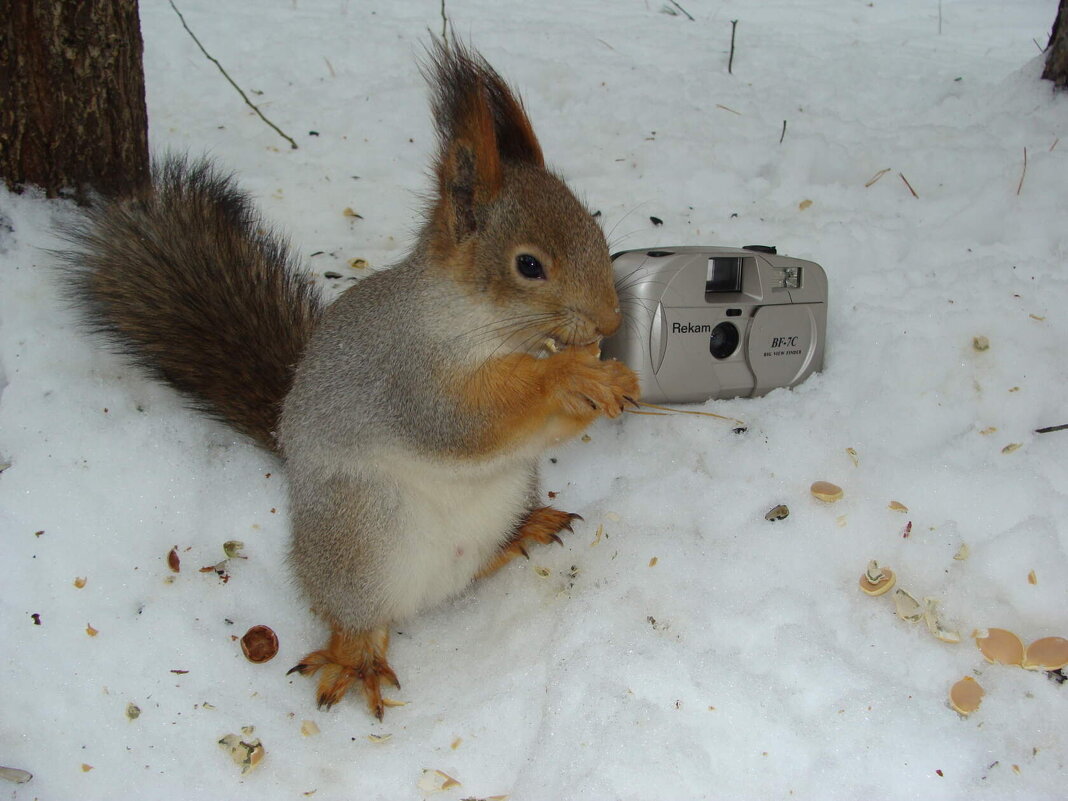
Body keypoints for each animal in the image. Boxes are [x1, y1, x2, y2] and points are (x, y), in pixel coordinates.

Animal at [62, 40, 636, 721]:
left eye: (598, 231)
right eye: (529, 265)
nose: (610, 321)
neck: (483, 325)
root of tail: (435, 588)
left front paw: (612, 378)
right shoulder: (407, 375)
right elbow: (466, 422)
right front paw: (571, 373)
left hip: (508, 491)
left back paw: (522, 533)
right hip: (360, 533)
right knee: (357, 616)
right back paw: (354, 656)